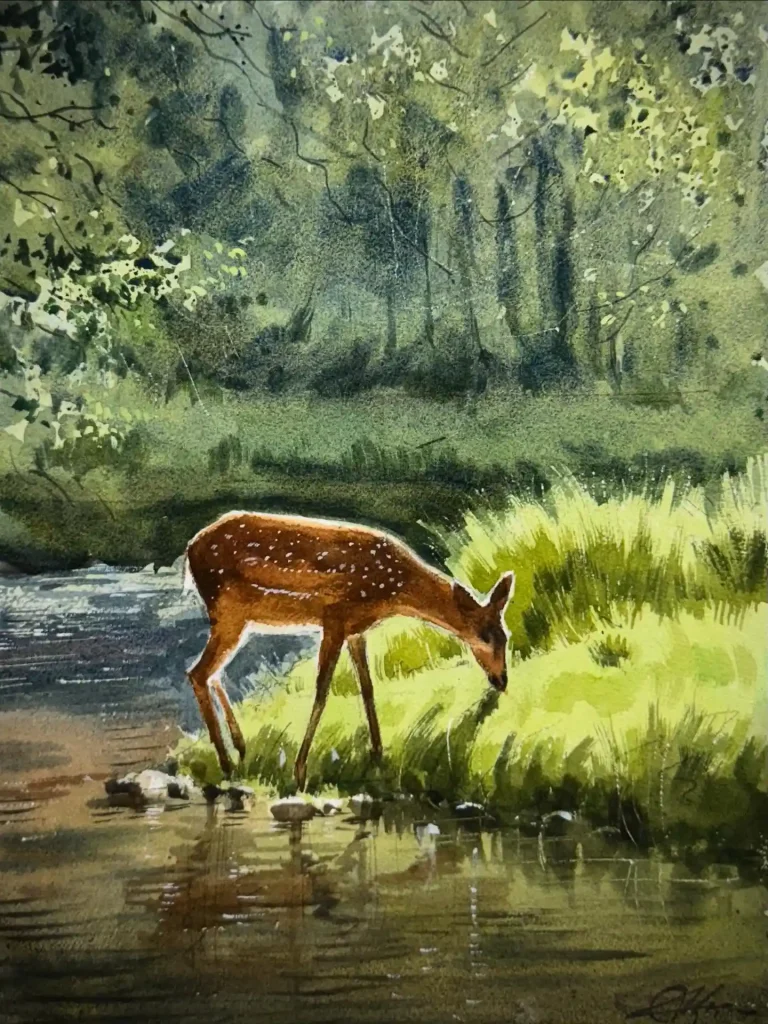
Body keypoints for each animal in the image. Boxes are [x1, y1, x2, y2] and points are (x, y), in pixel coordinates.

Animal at [182, 511, 515, 790]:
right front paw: (300, 771)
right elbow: (322, 690)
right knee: (198, 672)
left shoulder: (357, 630)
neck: (392, 590)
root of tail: (190, 548)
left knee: (212, 673)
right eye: (483, 636)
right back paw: (226, 764)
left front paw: (378, 756)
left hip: (239, 618)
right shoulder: (335, 617)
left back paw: (240, 748)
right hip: (229, 611)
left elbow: (367, 687)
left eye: (506, 636)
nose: (502, 680)